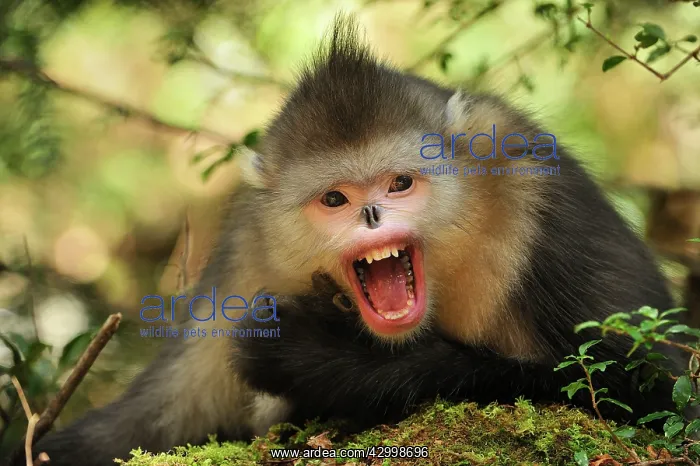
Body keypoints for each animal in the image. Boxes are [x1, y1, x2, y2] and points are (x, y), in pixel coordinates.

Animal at [5, 15, 693, 466]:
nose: (368, 214)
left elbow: (654, 403)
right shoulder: (248, 253)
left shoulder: (539, 196)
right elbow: (148, 427)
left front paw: (314, 357)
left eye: (399, 183)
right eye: (335, 199)